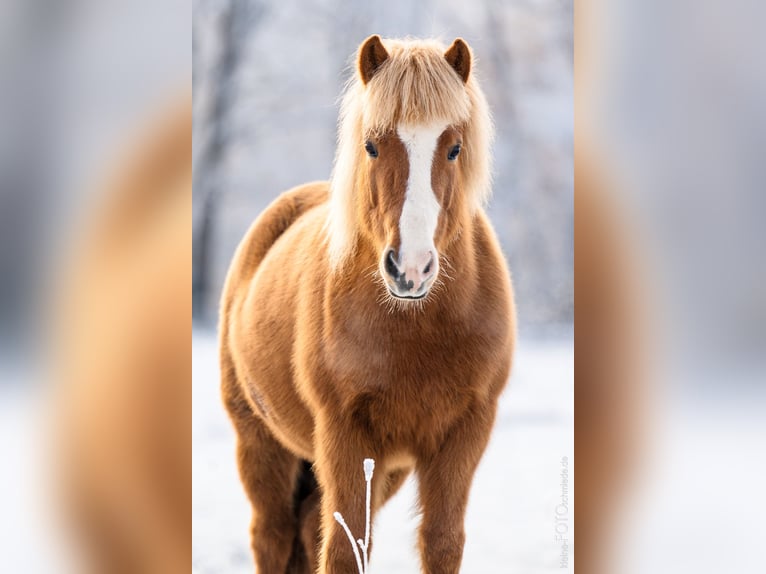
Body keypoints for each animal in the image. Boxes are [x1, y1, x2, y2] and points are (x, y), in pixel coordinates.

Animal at [220, 36, 516, 574]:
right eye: (372, 145)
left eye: (454, 148)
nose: (411, 268)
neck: (416, 329)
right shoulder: (344, 433)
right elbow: (345, 548)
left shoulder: (465, 432)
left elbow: (441, 542)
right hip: (260, 442)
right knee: (272, 535)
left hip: (386, 470)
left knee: (305, 525)